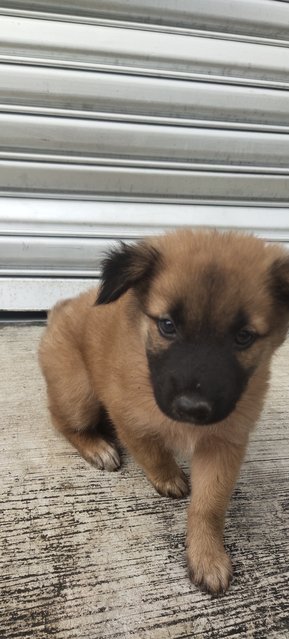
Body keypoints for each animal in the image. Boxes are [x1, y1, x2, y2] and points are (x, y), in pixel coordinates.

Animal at [38, 230, 288, 596]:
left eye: (244, 337)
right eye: (167, 325)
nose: (191, 408)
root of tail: (62, 307)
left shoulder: (223, 443)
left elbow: (209, 505)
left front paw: (207, 556)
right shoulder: (127, 416)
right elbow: (151, 450)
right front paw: (168, 477)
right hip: (77, 392)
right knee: (61, 421)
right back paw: (97, 447)